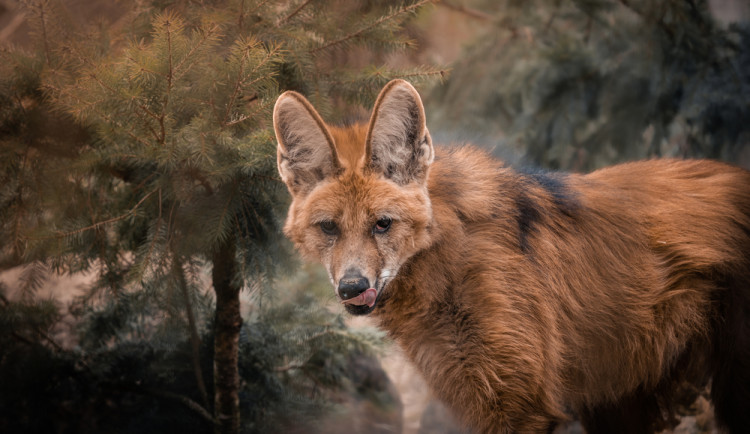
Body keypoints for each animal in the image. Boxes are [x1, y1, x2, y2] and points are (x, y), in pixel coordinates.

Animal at [274, 79, 750, 432]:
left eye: (382, 224)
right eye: (329, 228)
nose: (352, 287)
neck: (446, 265)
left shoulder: (520, 406)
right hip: (620, 397)